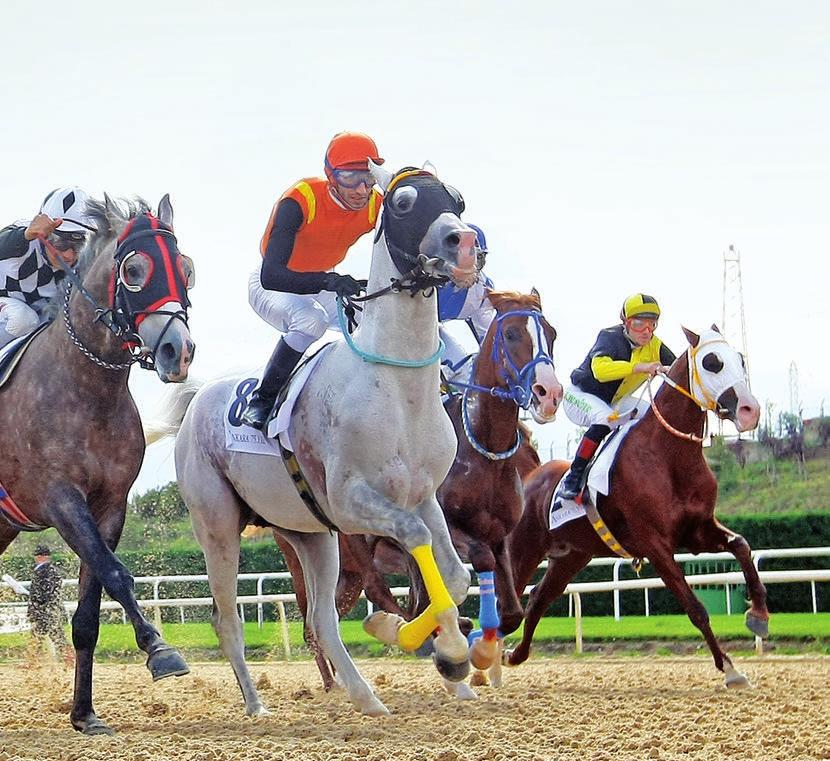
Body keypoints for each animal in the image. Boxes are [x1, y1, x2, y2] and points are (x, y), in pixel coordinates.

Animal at [0, 196, 197, 732]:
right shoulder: (61, 499)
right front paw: (159, 649)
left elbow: (89, 612)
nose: (178, 351)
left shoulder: (109, 504)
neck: (87, 388)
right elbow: (116, 573)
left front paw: (84, 713)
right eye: (133, 270)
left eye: (187, 271)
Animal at [151, 163, 480, 716]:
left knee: (322, 620)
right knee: (227, 619)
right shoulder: (351, 501)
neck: (396, 386)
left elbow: (455, 574)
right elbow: (415, 538)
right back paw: (256, 705)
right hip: (217, 525)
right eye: (404, 204)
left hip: (310, 534)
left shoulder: (421, 495)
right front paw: (446, 651)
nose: (467, 244)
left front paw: (440, 656)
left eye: (456, 199)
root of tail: (197, 402)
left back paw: (367, 697)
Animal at [504, 324, 772, 684]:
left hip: (571, 556)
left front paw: (758, 614)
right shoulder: (655, 544)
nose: (749, 410)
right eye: (712, 362)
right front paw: (728, 667)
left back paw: (514, 655)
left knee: (537, 599)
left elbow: (741, 545)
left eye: (740, 358)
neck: (669, 456)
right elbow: (696, 608)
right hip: (523, 551)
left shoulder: (697, 532)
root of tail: (529, 476)